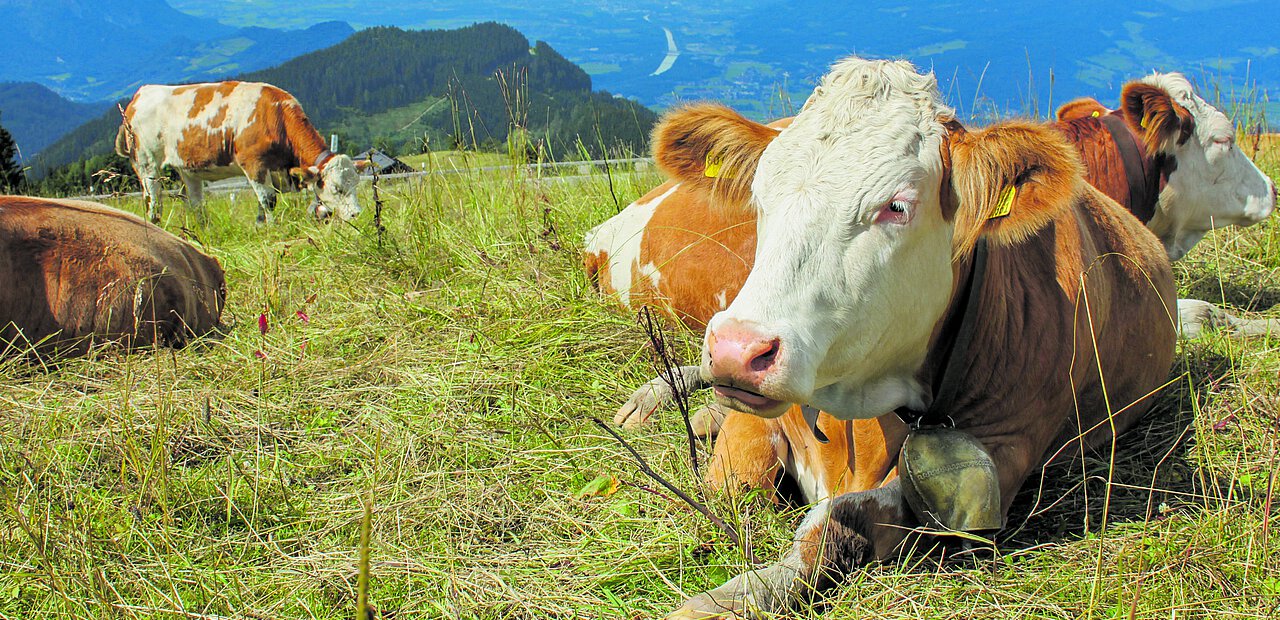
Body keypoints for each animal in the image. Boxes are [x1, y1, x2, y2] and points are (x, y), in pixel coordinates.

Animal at [116, 80, 366, 225]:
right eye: (337, 188)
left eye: (355, 184)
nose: (357, 213)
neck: (275, 115)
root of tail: (139, 96)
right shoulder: (253, 165)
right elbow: (268, 200)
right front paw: (273, 229)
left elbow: (261, 203)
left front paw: (260, 226)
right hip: (146, 164)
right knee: (153, 201)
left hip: (187, 169)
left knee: (195, 203)